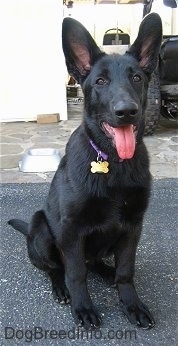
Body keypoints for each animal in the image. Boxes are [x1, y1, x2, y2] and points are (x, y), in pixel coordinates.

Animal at [8, 13, 163, 330]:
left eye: (137, 78)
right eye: (100, 81)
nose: (126, 111)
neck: (114, 163)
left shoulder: (133, 226)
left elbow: (126, 270)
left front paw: (131, 304)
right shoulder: (71, 230)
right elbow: (76, 273)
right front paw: (83, 307)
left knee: (98, 263)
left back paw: (106, 272)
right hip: (42, 228)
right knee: (56, 268)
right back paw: (62, 288)